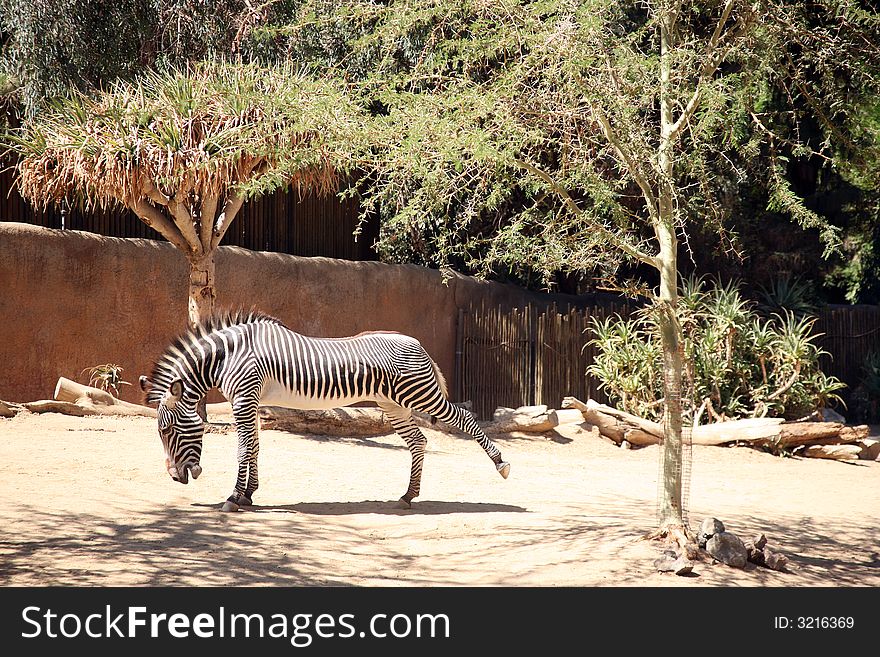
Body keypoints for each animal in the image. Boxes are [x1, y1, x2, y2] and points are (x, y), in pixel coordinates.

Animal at [138, 310, 508, 510]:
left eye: (167, 430)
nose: (174, 477)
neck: (226, 356)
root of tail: (416, 342)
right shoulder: (252, 400)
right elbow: (255, 447)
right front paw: (249, 495)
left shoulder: (243, 397)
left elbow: (243, 448)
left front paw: (233, 497)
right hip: (393, 404)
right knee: (419, 441)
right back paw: (408, 495)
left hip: (420, 394)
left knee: (465, 418)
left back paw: (501, 464)